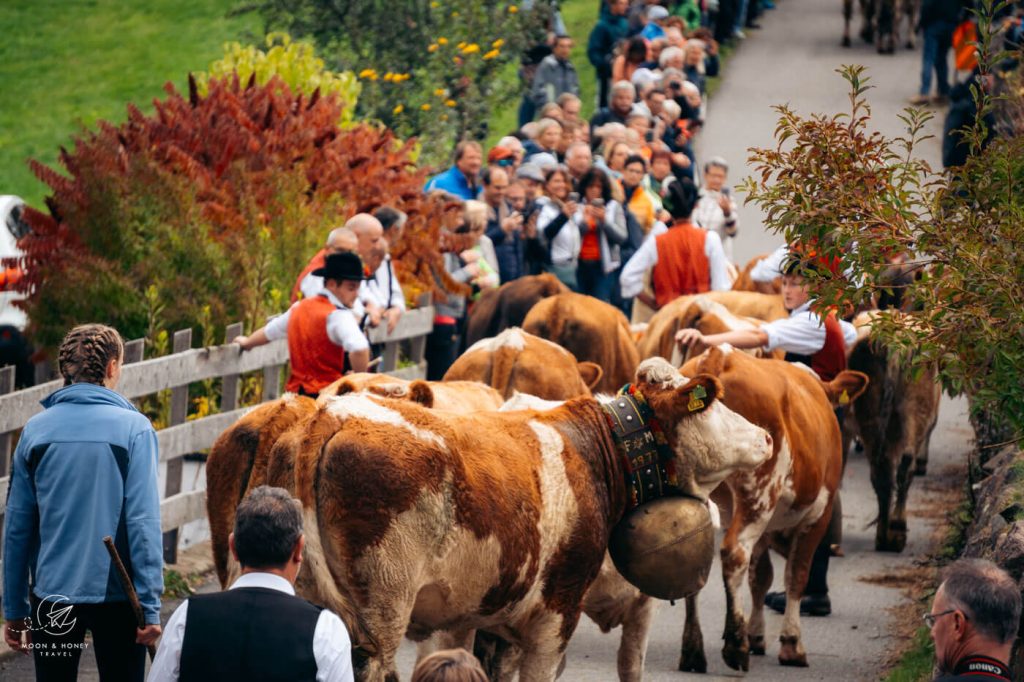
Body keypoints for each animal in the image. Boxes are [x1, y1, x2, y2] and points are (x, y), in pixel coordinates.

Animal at [292, 358, 770, 675]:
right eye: (712, 404)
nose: (765, 436)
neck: (597, 452)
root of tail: (334, 415)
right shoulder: (556, 613)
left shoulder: (479, 619)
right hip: (382, 610)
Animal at [679, 348, 864, 667]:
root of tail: (720, 354)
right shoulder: (818, 515)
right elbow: (797, 574)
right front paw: (791, 643)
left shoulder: (767, 527)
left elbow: (761, 577)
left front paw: (755, 634)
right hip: (759, 496)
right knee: (735, 553)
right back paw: (734, 646)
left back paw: (693, 649)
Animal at [843, 311, 937, 548]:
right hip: (914, 410)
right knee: (903, 466)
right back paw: (895, 529)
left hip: (873, 419)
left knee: (884, 472)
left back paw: (886, 532)